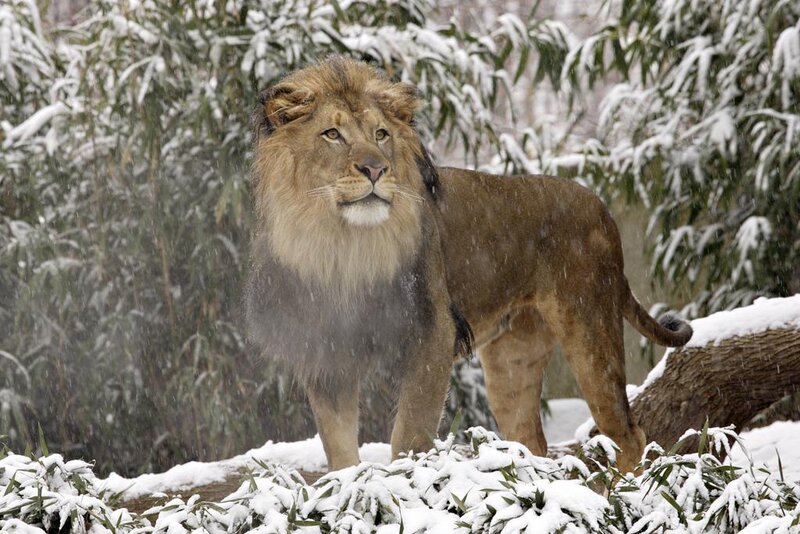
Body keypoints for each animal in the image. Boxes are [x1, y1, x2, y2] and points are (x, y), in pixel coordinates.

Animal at [245, 57, 692, 474]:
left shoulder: (433, 335)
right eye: (332, 134)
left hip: (590, 328)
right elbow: (339, 450)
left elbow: (409, 434)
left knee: (627, 432)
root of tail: (601, 207)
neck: (343, 243)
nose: (375, 169)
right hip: (512, 361)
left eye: (381, 134)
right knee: (532, 441)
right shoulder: (326, 352)